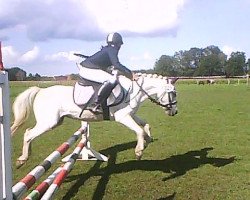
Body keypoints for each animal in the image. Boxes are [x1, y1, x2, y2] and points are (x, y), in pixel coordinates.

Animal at [10, 74, 178, 166]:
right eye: (174, 93)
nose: (175, 112)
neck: (132, 92)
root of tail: (41, 90)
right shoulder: (122, 117)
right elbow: (139, 130)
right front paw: (138, 151)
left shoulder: (131, 115)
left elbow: (145, 125)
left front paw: (147, 141)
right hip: (49, 122)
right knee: (28, 134)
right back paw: (22, 159)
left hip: (56, 122)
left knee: (28, 131)